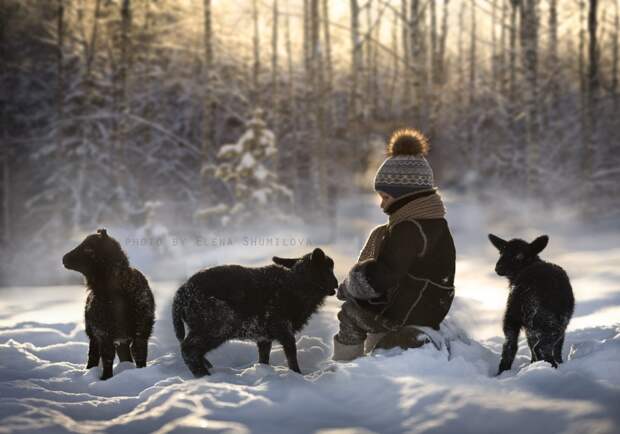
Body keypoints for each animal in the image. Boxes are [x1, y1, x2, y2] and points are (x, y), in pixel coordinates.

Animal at [61, 229, 156, 382]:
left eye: (89, 249)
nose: (64, 258)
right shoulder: (102, 331)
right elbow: (107, 356)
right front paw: (106, 378)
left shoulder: (141, 330)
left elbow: (139, 353)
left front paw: (140, 373)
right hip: (94, 332)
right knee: (94, 354)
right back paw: (90, 371)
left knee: (122, 353)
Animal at [172, 248, 340, 376]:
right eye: (328, 268)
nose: (337, 284)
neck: (297, 283)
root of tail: (180, 294)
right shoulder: (282, 326)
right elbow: (291, 353)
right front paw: (298, 375)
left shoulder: (264, 335)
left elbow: (264, 357)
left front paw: (264, 371)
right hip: (217, 324)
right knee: (189, 350)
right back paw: (204, 375)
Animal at [490, 232, 576, 374]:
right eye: (501, 252)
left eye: (519, 255)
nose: (498, 268)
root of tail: (525, 289)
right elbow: (558, 347)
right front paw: (559, 362)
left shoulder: (527, 327)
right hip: (549, 321)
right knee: (541, 347)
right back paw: (548, 367)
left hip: (513, 315)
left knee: (510, 345)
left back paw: (503, 371)